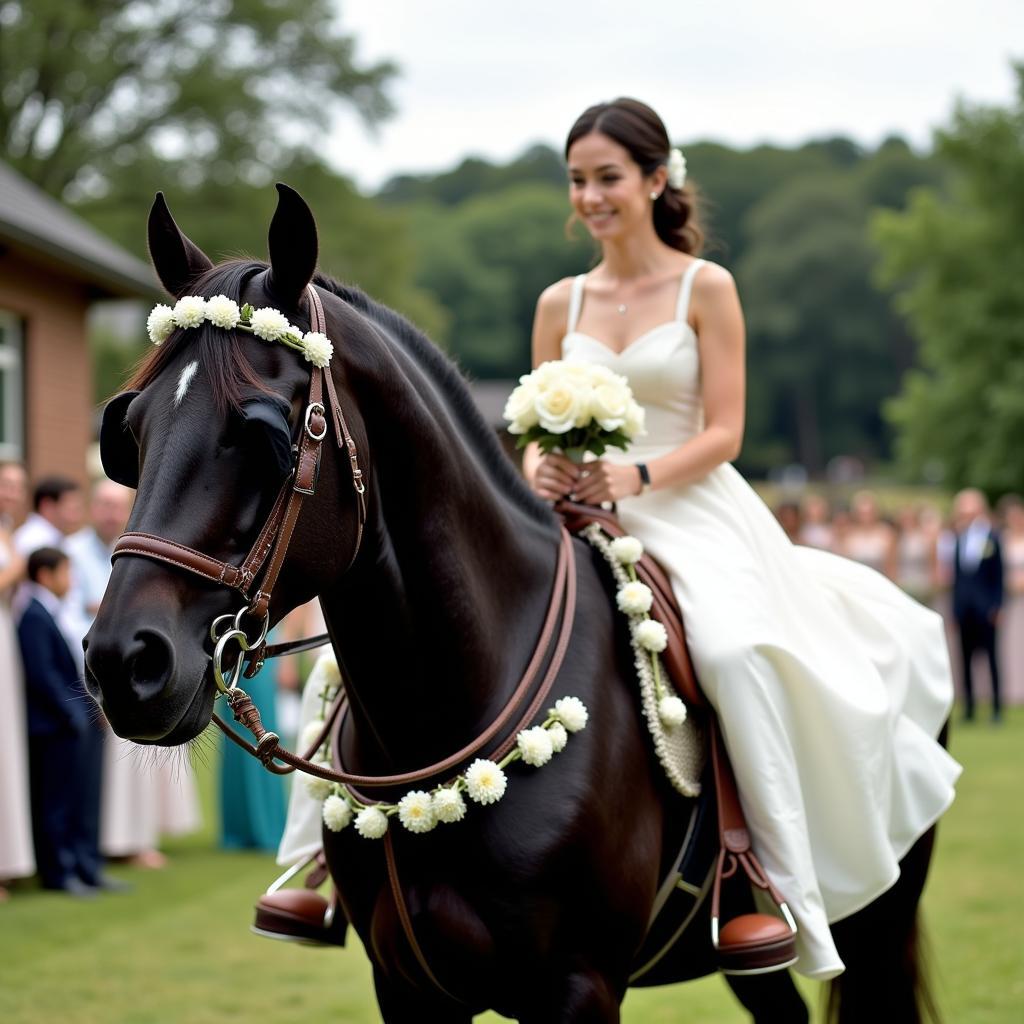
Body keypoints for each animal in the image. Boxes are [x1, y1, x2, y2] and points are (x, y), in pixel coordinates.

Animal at [83, 188, 937, 1019]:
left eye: (264, 435)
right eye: (127, 432)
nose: (123, 660)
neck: (446, 704)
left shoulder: (579, 988)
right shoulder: (406, 988)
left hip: (876, 915)